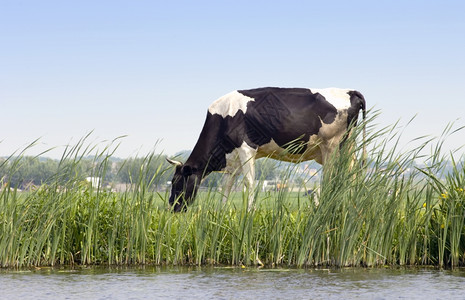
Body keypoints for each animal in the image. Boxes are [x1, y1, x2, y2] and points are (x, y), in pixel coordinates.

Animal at [167, 86, 366, 212]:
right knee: (353, 175)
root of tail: (350, 91)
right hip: (348, 148)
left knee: (332, 179)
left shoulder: (246, 148)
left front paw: (249, 211)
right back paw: (352, 206)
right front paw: (221, 212)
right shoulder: (233, 160)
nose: (172, 206)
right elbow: (226, 186)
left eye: (178, 182)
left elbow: (249, 183)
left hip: (332, 146)